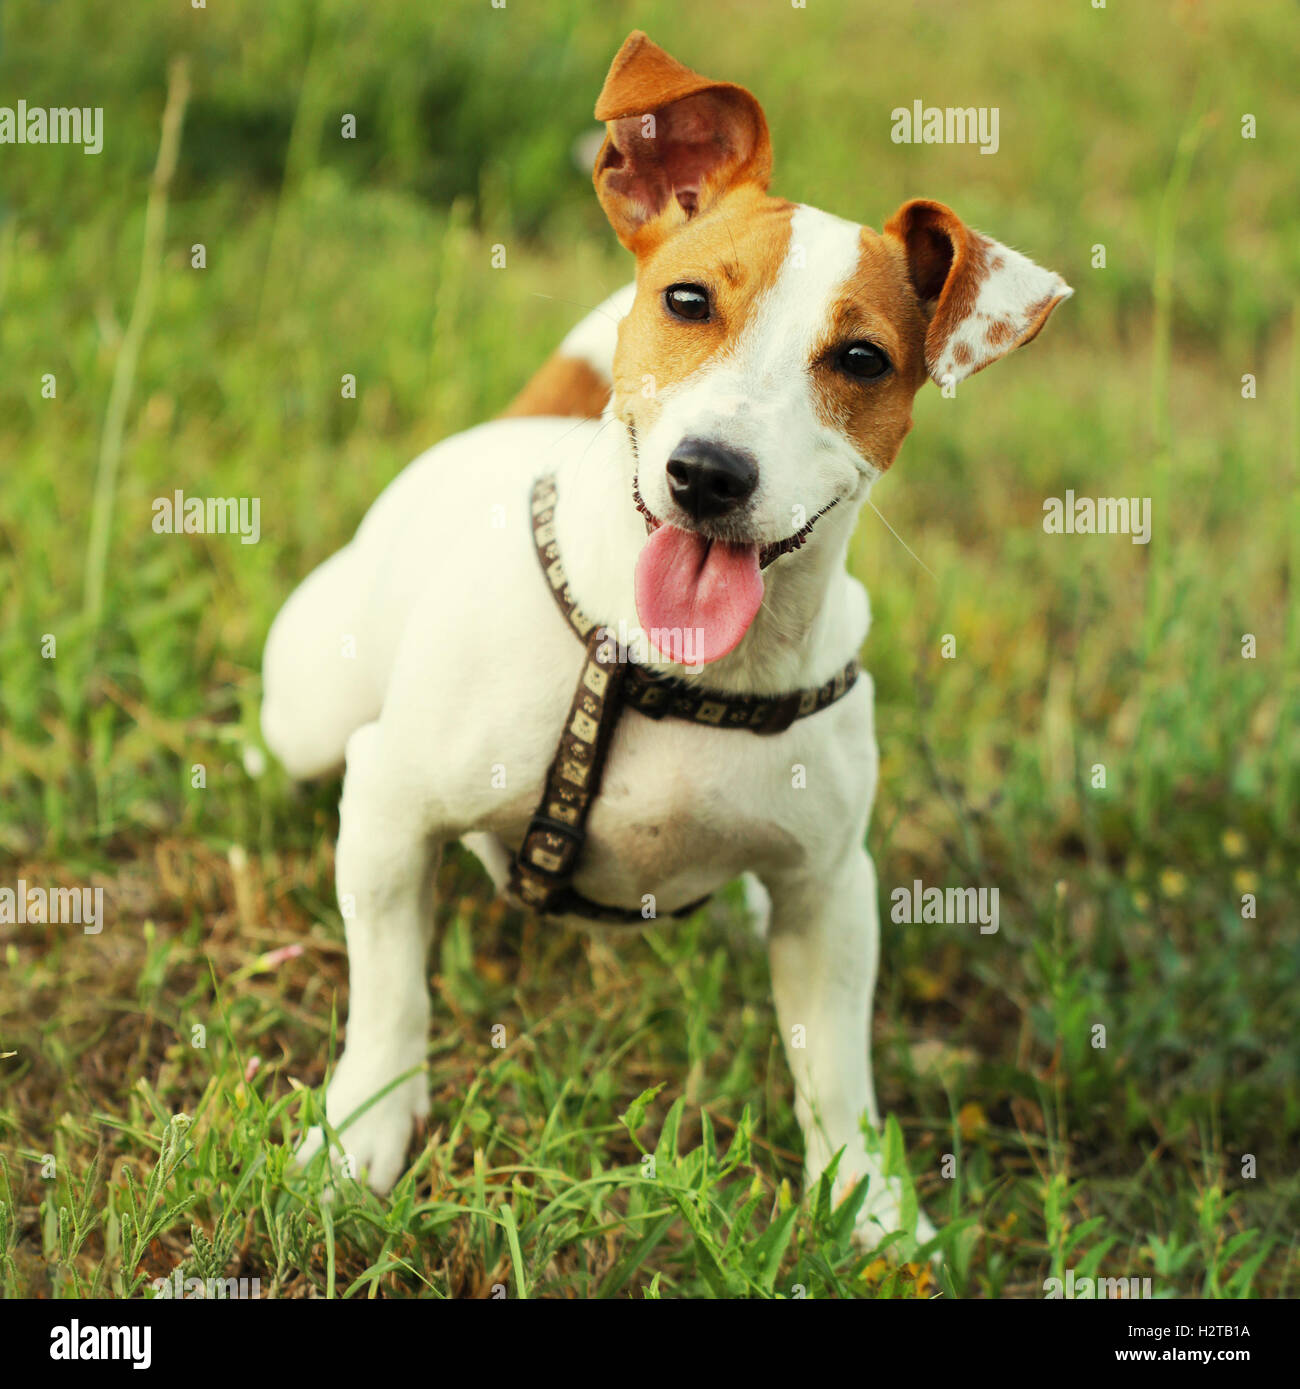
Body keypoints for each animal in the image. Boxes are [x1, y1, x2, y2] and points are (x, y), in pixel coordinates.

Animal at [258, 32, 1072, 1250]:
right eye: (687, 300)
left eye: (863, 361)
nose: (710, 473)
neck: (661, 669)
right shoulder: (393, 809)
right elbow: (391, 996)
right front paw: (360, 1138)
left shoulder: (831, 891)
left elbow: (835, 1070)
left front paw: (873, 1209)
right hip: (312, 710)